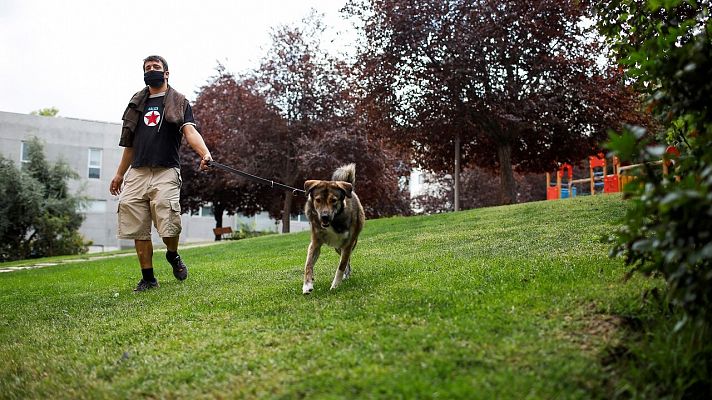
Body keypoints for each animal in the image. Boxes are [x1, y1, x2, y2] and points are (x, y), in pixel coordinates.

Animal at [302, 163, 364, 294]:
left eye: (333, 200)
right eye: (318, 200)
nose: (324, 216)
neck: (333, 222)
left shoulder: (348, 244)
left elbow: (341, 265)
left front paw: (335, 285)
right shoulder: (315, 243)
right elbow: (308, 264)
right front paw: (307, 285)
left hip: (346, 245)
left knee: (346, 260)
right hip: (337, 248)